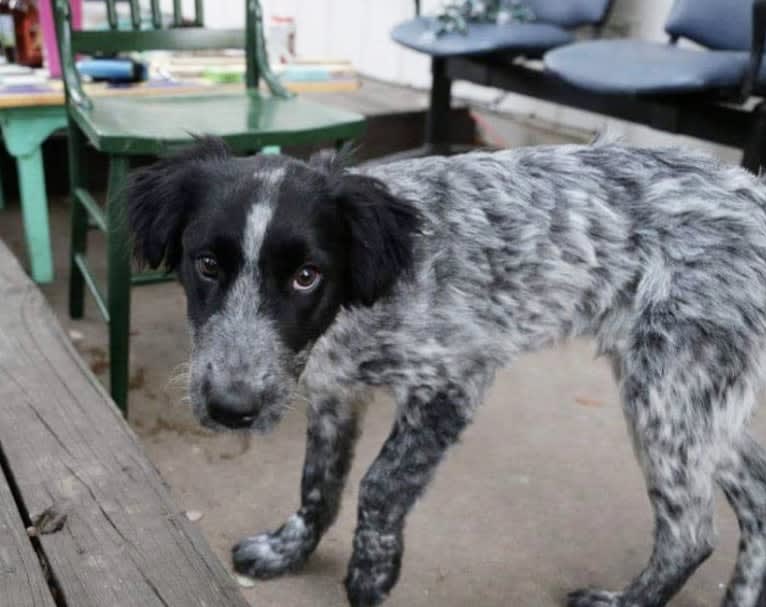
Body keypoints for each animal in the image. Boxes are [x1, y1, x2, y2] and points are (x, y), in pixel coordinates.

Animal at [129, 138, 766, 607]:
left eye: (307, 276)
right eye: (206, 264)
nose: (230, 410)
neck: (357, 301)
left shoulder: (453, 379)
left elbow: (380, 484)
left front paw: (371, 574)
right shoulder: (335, 391)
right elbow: (318, 482)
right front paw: (289, 550)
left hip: (669, 392)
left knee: (690, 533)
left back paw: (626, 601)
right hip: (706, 402)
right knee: (757, 495)